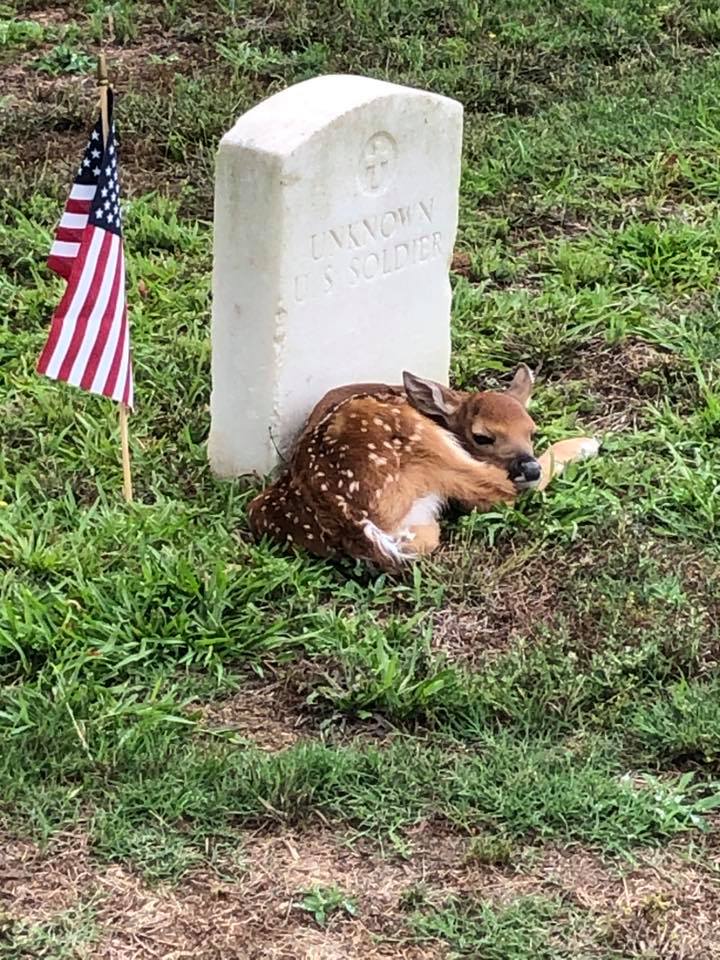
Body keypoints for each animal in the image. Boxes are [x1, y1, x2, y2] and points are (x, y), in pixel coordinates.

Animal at [247, 365, 599, 569]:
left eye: (531, 431)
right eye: (482, 436)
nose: (528, 467)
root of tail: (348, 517)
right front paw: (587, 443)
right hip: (426, 444)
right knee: (500, 491)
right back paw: (584, 444)